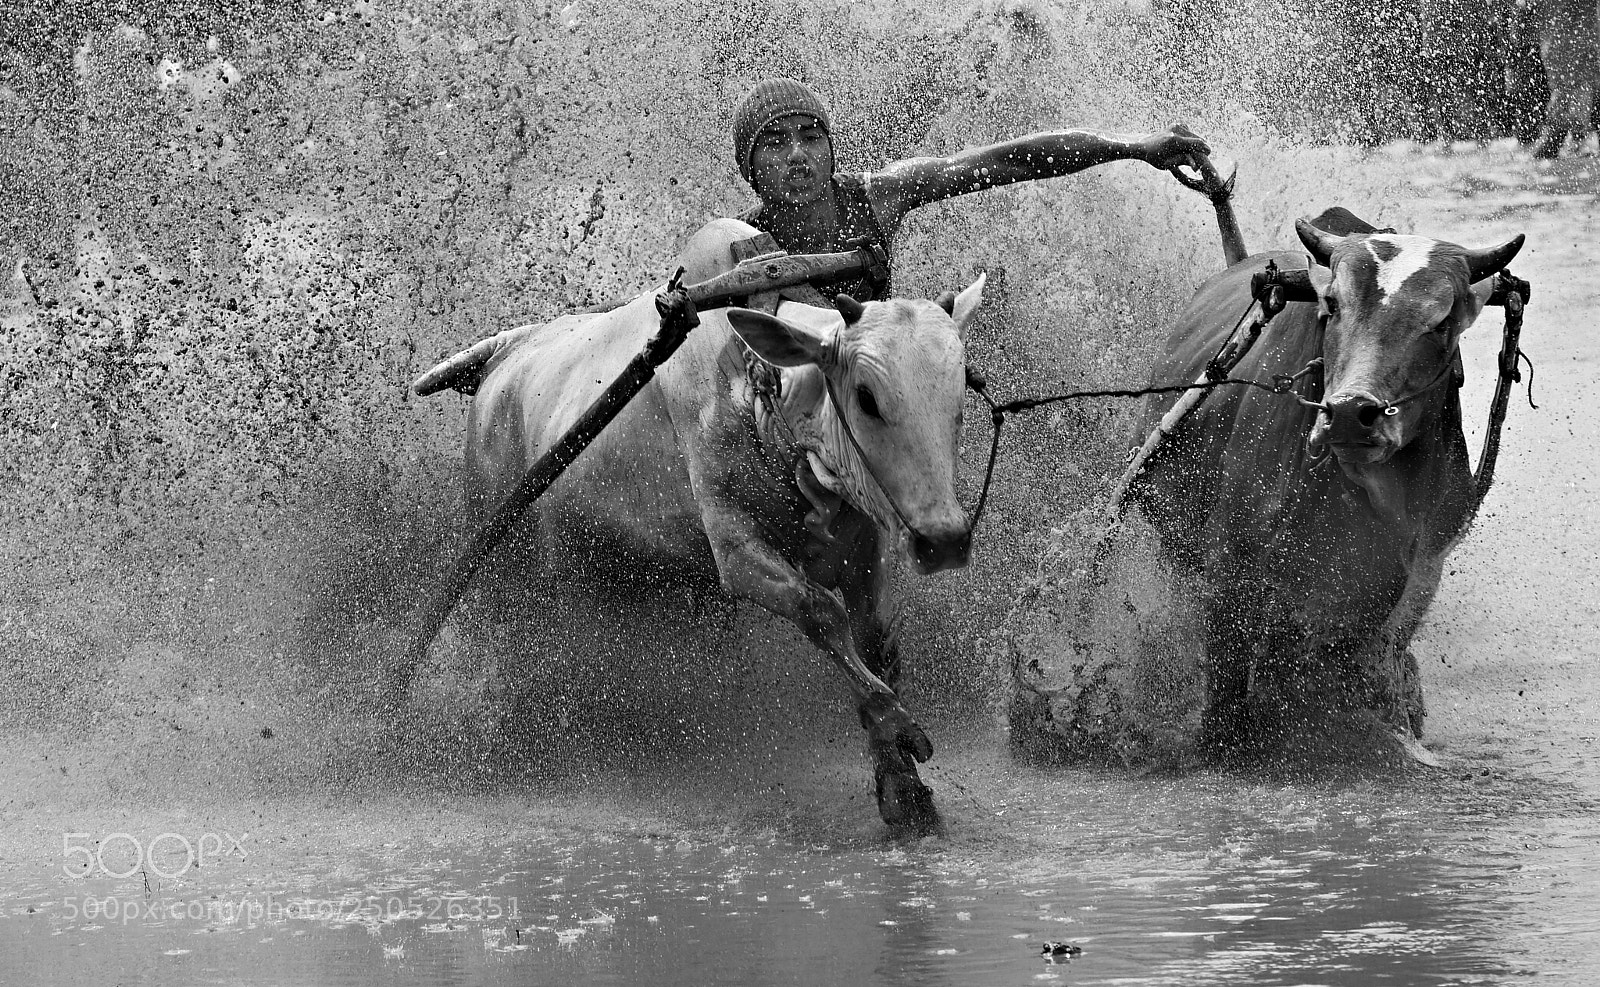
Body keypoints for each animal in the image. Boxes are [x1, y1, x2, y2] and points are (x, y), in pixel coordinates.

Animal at [424, 217, 985, 827]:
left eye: (960, 393)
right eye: (866, 397)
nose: (944, 541)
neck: (760, 389)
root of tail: (501, 361)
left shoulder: (866, 545)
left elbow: (877, 640)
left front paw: (903, 786)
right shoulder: (736, 551)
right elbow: (822, 612)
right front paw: (899, 722)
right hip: (507, 572)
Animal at [1128, 208, 1524, 762]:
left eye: (1443, 319)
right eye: (1331, 304)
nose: (1351, 414)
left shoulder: (1412, 574)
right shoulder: (1231, 567)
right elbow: (1227, 694)